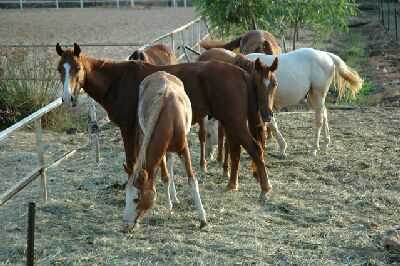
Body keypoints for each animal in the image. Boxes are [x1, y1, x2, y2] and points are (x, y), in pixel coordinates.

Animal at [56, 42, 276, 210]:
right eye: (60, 69)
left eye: (77, 68)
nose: (68, 98)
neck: (118, 81)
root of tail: (241, 72)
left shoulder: (127, 129)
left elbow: (131, 161)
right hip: (232, 122)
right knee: (240, 148)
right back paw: (237, 184)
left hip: (234, 121)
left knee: (254, 148)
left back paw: (265, 190)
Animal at [122, 70, 206, 231]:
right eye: (126, 197)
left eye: (136, 198)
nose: (125, 227)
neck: (170, 114)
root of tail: (160, 72)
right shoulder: (160, 151)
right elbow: (165, 177)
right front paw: (169, 209)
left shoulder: (184, 148)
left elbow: (192, 180)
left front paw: (203, 219)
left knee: (172, 160)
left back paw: (175, 197)